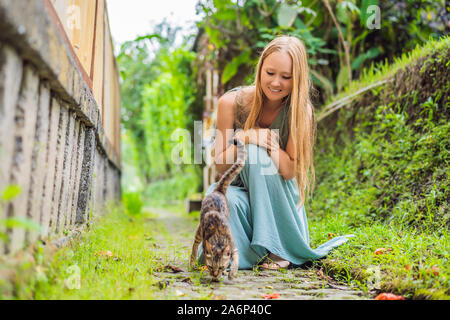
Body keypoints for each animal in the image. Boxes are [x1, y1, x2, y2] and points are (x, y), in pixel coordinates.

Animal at [189, 137, 248, 280]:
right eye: (210, 267)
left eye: (221, 267)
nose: (216, 275)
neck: (219, 239)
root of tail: (218, 190)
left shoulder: (233, 246)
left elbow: (236, 258)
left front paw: (231, 272)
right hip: (200, 230)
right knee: (194, 245)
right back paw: (192, 263)